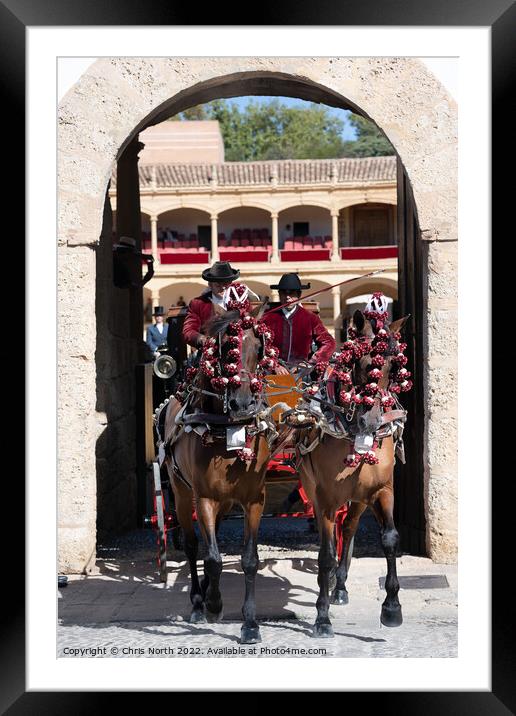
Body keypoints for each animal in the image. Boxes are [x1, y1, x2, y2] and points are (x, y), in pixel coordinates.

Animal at [162, 300, 270, 644]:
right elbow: (211, 558)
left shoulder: (253, 500)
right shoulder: (204, 498)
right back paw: (200, 602)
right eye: (224, 348)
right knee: (193, 544)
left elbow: (249, 560)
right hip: (182, 493)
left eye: (260, 348)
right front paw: (212, 604)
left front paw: (250, 624)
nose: (244, 404)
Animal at [294, 310, 412, 636]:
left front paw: (392, 607)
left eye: (391, 366)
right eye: (361, 363)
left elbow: (390, 539)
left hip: (358, 499)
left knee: (347, 529)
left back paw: (340, 586)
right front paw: (322, 617)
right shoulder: (323, 499)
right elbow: (323, 555)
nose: (370, 421)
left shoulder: (382, 490)